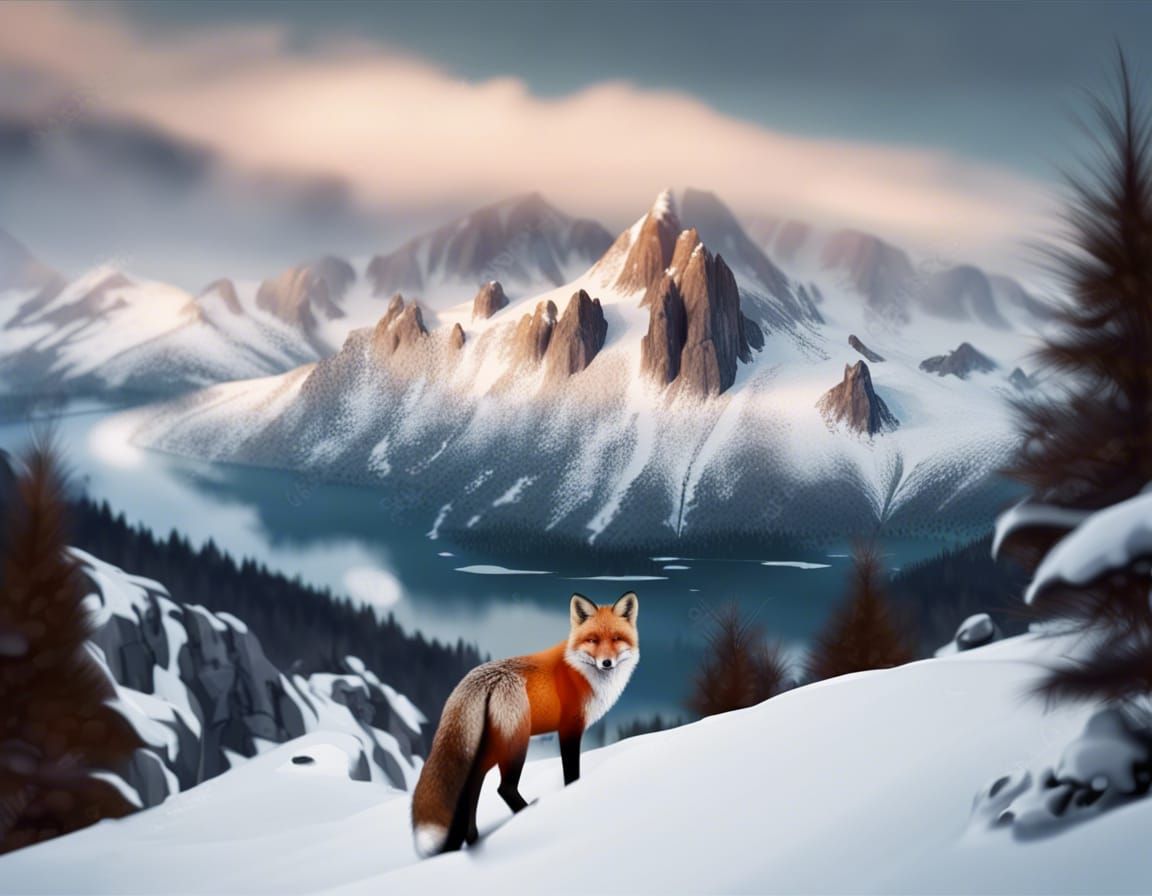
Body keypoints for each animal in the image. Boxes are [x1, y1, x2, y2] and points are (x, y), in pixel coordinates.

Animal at [410, 591, 639, 857]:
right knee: (503, 787)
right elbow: (571, 773)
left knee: (472, 783)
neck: (580, 671)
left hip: (493, 745)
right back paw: (525, 811)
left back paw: (470, 839)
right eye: (592, 640)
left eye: (616, 638)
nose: (606, 663)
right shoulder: (570, 728)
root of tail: (478, 678)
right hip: (516, 742)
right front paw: (572, 794)